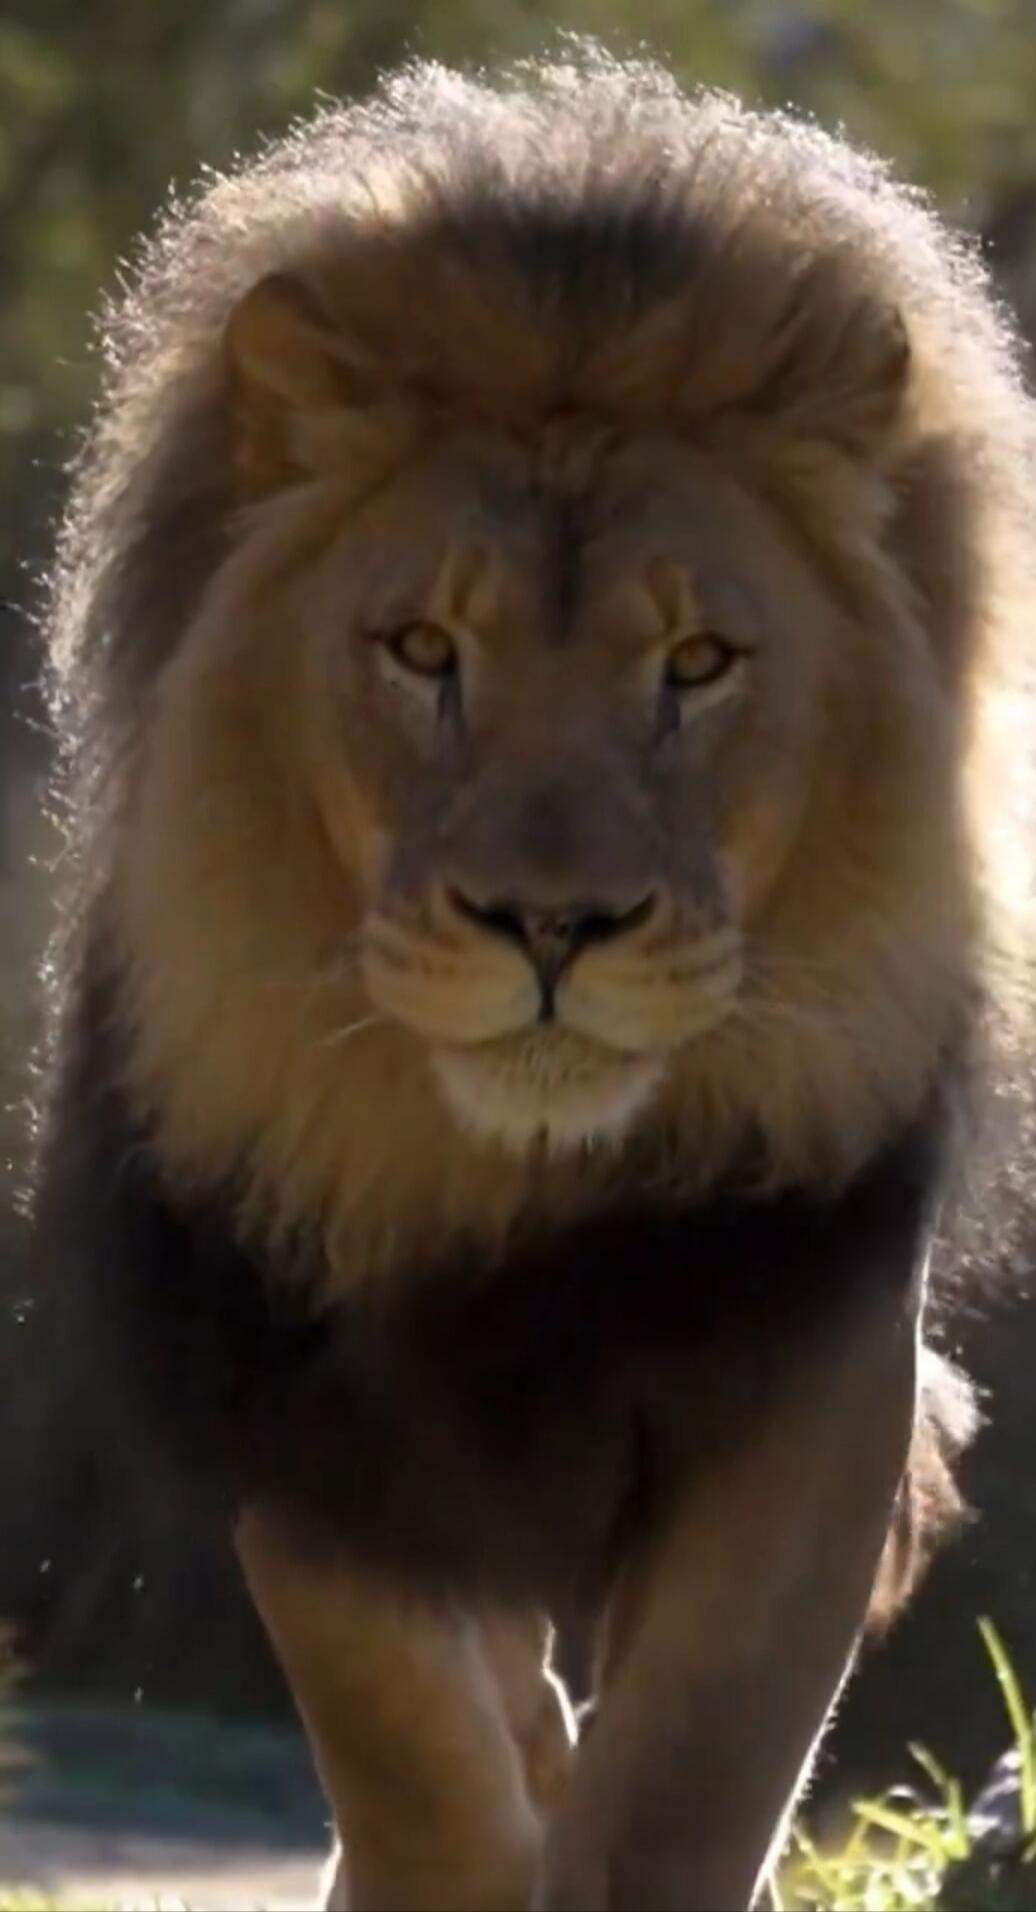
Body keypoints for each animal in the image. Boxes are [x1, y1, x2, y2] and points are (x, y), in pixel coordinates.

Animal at [32, 44, 1035, 1912]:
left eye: (698, 662)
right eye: (423, 648)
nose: (552, 926)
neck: (507, 1175)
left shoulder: (807, 1363)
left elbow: (689, 1777)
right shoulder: (302, 1382)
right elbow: (411, 1744)